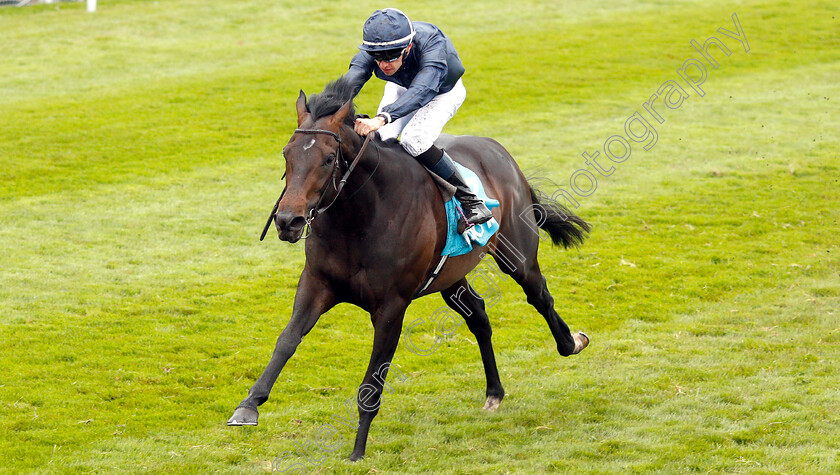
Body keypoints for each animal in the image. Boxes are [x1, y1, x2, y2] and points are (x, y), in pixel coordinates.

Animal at [226, 77, 588, 462]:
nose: (287, 221)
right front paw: (248, 405)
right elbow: (287, 340)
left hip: (516, 255)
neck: (360, 217)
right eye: (287, 153)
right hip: (450, 275)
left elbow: (372, 382)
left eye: (328, 158)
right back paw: (494, 392)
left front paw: (357, 452)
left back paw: (571, 343)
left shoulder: (391, 306)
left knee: (540, 296)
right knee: (478, 316)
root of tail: (499, 152)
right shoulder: (316, 284)